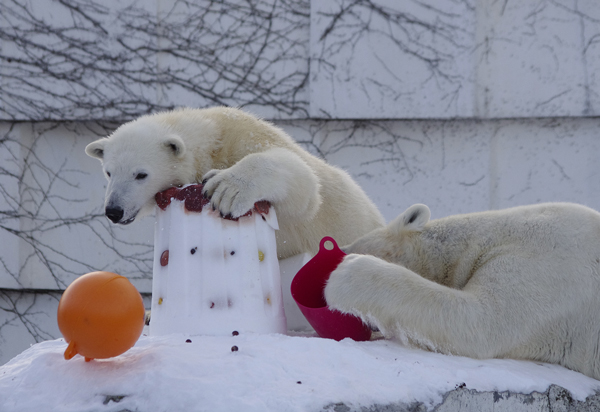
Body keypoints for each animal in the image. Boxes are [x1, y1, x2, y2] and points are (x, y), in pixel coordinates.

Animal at [84, 108, 384, 260]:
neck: (212, 139)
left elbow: (305, 187)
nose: (114, 211)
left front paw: (226, 189)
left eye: (141, 174)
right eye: (109, 172)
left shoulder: (246, 139)